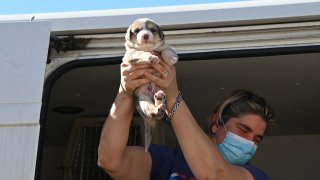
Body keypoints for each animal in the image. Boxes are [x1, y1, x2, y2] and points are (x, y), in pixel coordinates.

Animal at [122, 17, 178, 150]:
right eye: (137, 31)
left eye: (152, 30)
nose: (146, 35)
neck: (148, 47)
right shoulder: (132, 53)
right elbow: (141, 53)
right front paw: (151, 57)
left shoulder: (162, 47)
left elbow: (166, 49)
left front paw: (171, 58)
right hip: (143, 102)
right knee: (154, 113)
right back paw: (157, 105)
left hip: (163, 96)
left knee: (160, 113)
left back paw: (159, 99)